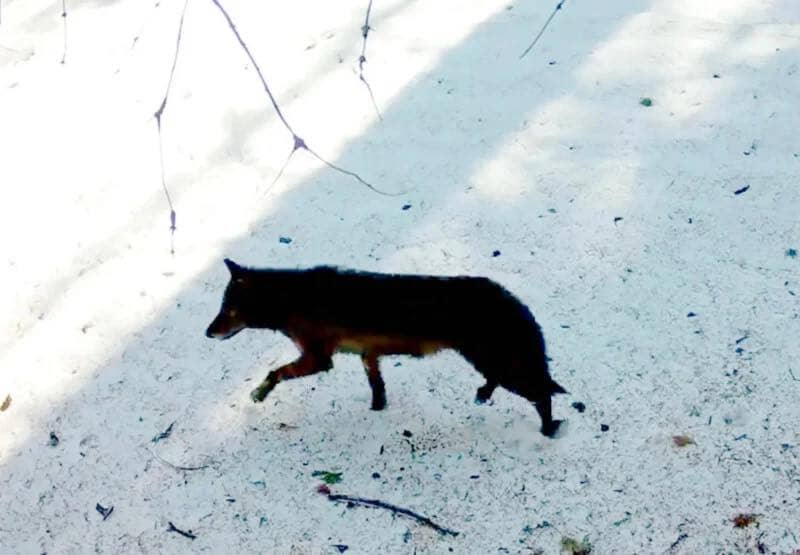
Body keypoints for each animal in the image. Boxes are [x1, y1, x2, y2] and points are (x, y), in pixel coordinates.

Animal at [205, 259, 566, 437]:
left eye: (228, 310)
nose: (207, 333)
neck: (293, 298)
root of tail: (512, 300)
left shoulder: (319, 359)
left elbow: (274, 372)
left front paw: (260, 393)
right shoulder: (368, 354)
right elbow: (377, 387)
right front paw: (378, 410)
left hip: (501, 364)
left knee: (542, 394)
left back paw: (549, 430)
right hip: (488, 359)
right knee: (503, 381)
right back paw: (484, 394)